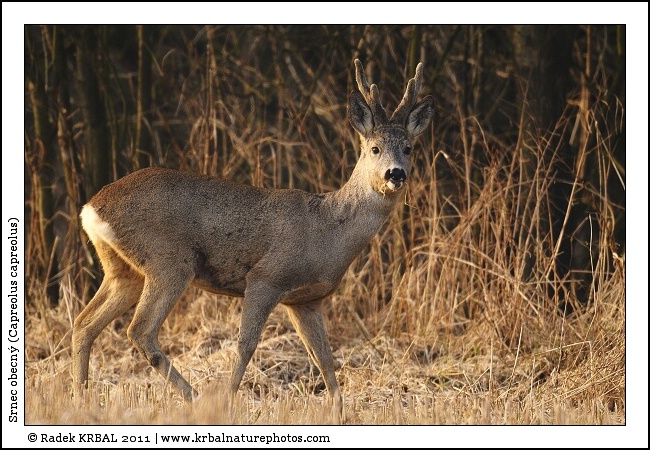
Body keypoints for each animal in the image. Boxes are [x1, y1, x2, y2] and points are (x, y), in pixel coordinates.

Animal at [72, 59, 434, 407]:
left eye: (409, 148)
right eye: (374, 148)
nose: (395, 174)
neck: (328, 231)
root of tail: (91, 209)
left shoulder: (307, 300)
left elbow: (325, 360)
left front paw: (340, 413)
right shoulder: (266, 277)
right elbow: (246, 344)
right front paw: (230, 400)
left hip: (124, 270)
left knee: (84, 324)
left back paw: (82, 398)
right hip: (169, 261)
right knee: (140, 330)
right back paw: (193, 397)